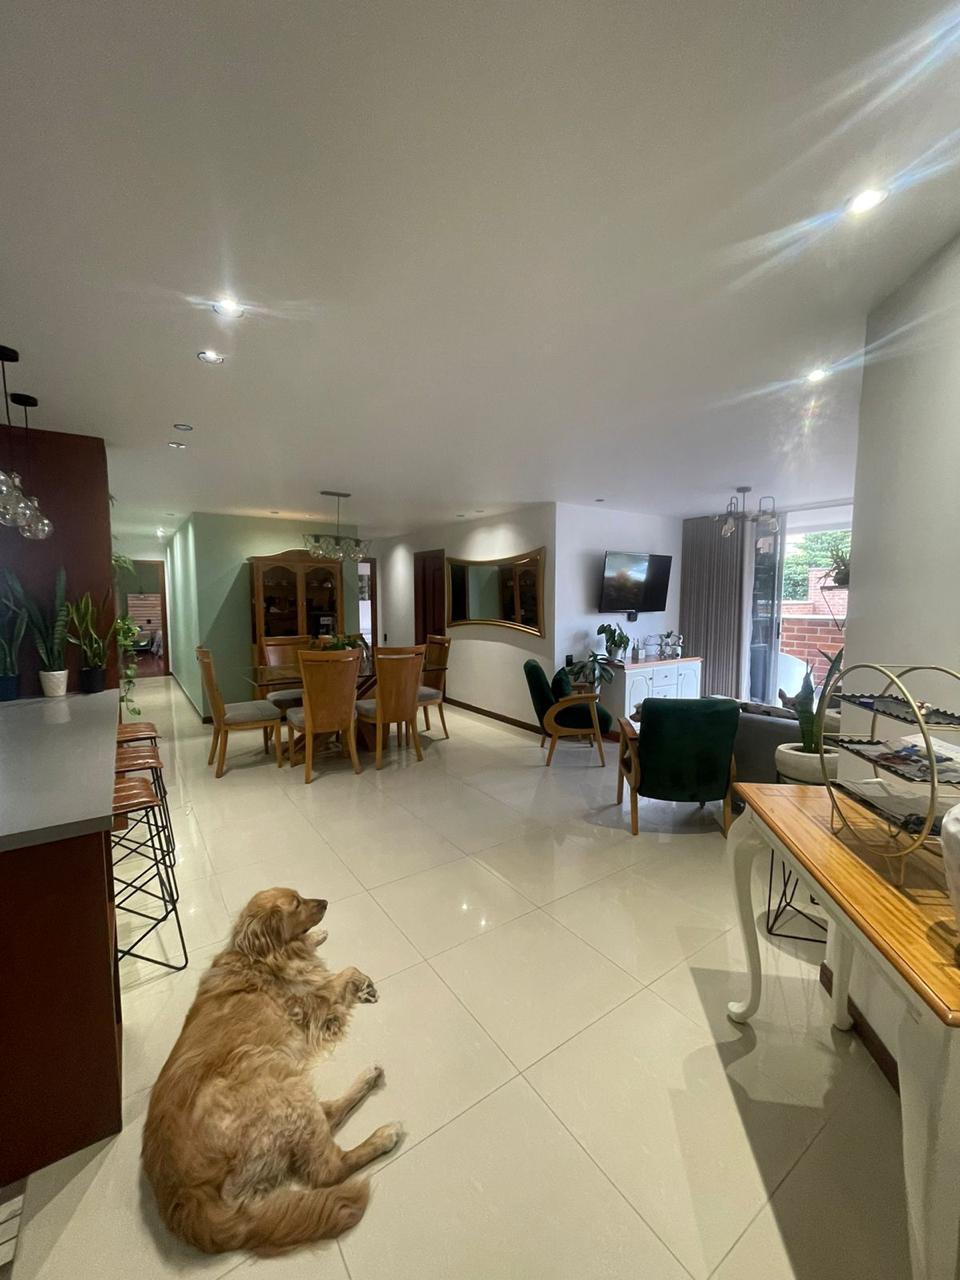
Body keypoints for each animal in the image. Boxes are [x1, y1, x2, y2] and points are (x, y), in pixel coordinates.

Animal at [142, 887, 401, 1254]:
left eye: (300, 895)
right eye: (296, 904)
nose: (324, 902)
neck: (259, 956)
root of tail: (183, 1198)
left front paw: (316, 937)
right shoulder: (313, 1002)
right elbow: (345, 971)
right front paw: (363, 983)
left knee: (331, 1116)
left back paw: (368, 1077)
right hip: (279, 1086)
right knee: (327, 1168)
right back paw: (384, 1135)